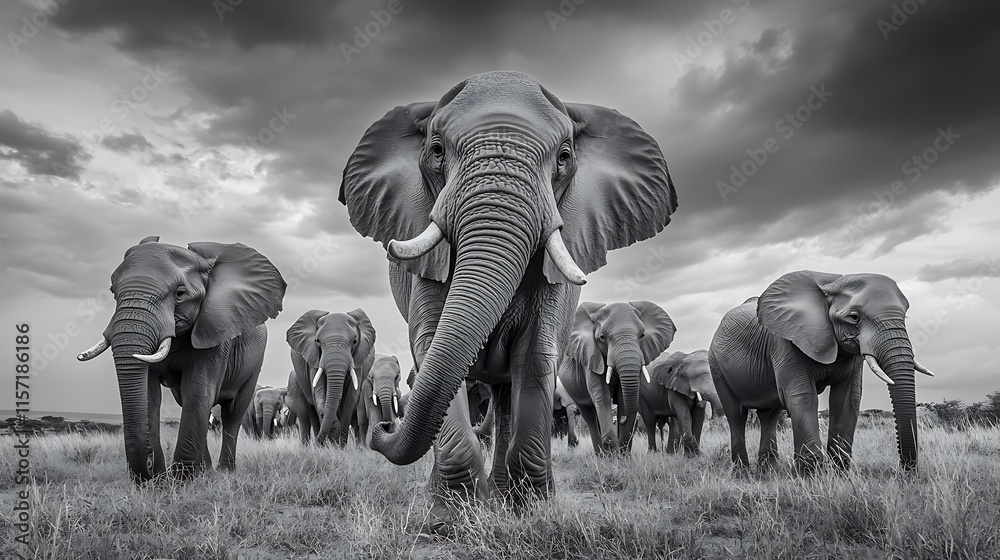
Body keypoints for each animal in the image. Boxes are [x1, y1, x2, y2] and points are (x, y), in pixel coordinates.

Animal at [77, 237, 286, 482]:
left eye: (180, 294)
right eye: (112, 291)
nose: (148, 464)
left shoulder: (215, 330)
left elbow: (197, 390)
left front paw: (182, 480)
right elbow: (150, 395)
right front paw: (162, 480)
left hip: (254, 365)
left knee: (233, 414)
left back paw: (224, 471)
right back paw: (205, 470)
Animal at [285, 309, 375, 446]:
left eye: (354, 341)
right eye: (317, 340)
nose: (318, 442)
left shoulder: (358, 360)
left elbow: (350, 399)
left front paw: (339, 445)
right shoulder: (314, 358)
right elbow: (319, 392)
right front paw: (331, 441)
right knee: (307, 414)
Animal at [559, 301, 676, 455]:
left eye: (642, 335)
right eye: (602, 337)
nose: (621, 419)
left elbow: (623, 397)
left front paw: (623, 455)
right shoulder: (591, 356)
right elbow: (601, 395)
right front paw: (612, 455)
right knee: (589, 414)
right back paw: (600, 455)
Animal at [709, 273, 936, 473]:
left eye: (904, 316)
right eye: (854, 317)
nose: (906, 472)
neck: (832, 283)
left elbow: (847, 399)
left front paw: (840, 475)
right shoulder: (786, 340)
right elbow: (802, 396)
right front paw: (811, 476)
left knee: (769, 415)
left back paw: (768, 472)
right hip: (716, 366)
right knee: (736, 415)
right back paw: (743, 473)